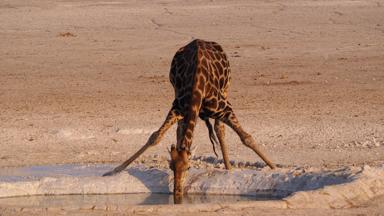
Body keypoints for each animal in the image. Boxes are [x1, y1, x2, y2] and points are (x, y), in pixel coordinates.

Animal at [102, 39, 276, 197]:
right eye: (171, 167)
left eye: (188, 167)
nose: (177, 192)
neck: (197, 88)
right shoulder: (177, 107)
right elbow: (155, 137)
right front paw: (114, 170)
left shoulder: (225, 108)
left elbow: (246, 137)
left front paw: (273, 167)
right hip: (177, 93)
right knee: (181, 128)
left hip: (226, 89)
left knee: (219, 129)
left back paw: (228, 167)